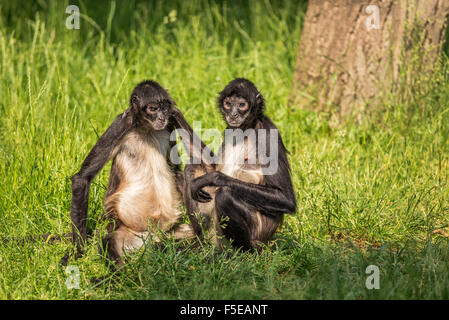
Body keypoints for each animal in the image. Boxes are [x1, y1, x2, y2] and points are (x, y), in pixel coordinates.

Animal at [61, 80, 192, 268]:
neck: (146, 129)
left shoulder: (169, 126)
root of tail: (154, 236)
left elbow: (177, 171)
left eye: (164, 108)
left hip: (171, 233)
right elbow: (82, 178)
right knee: (109, 241)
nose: (162, 118)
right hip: (128, 234)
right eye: (153, 109)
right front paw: (78, 251)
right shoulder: (121, 124)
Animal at [170, 78, 296, 252]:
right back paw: (201, 244)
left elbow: (286, 199)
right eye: (228, 104)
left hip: (256, 234)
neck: (245, 129)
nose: (233, 114)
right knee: (192, 167)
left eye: (242, 105)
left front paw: (212, 178)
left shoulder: (268, 131)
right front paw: (174, 113)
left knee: (225, 195)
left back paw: (244, 252)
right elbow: (211, 164)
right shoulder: (229, 129)